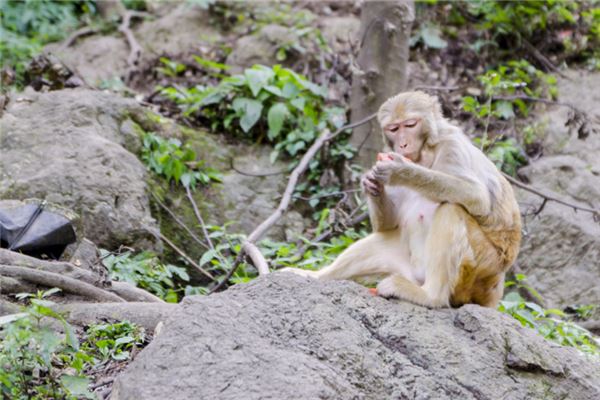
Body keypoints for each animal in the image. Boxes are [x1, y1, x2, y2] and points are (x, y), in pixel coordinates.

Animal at [284, 91, 524, 310]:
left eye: (410, 125)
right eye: (394, 129)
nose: (403, 144)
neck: (425, 154)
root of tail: (496, 289)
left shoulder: (452, 146)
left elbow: (477, 196)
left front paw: (401, 171)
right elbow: (387, 225)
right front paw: (371, 185)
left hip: (483, 268)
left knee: (451, 209)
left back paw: (430, 296)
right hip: (410, 269)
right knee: (384, 239)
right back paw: (314, 276)